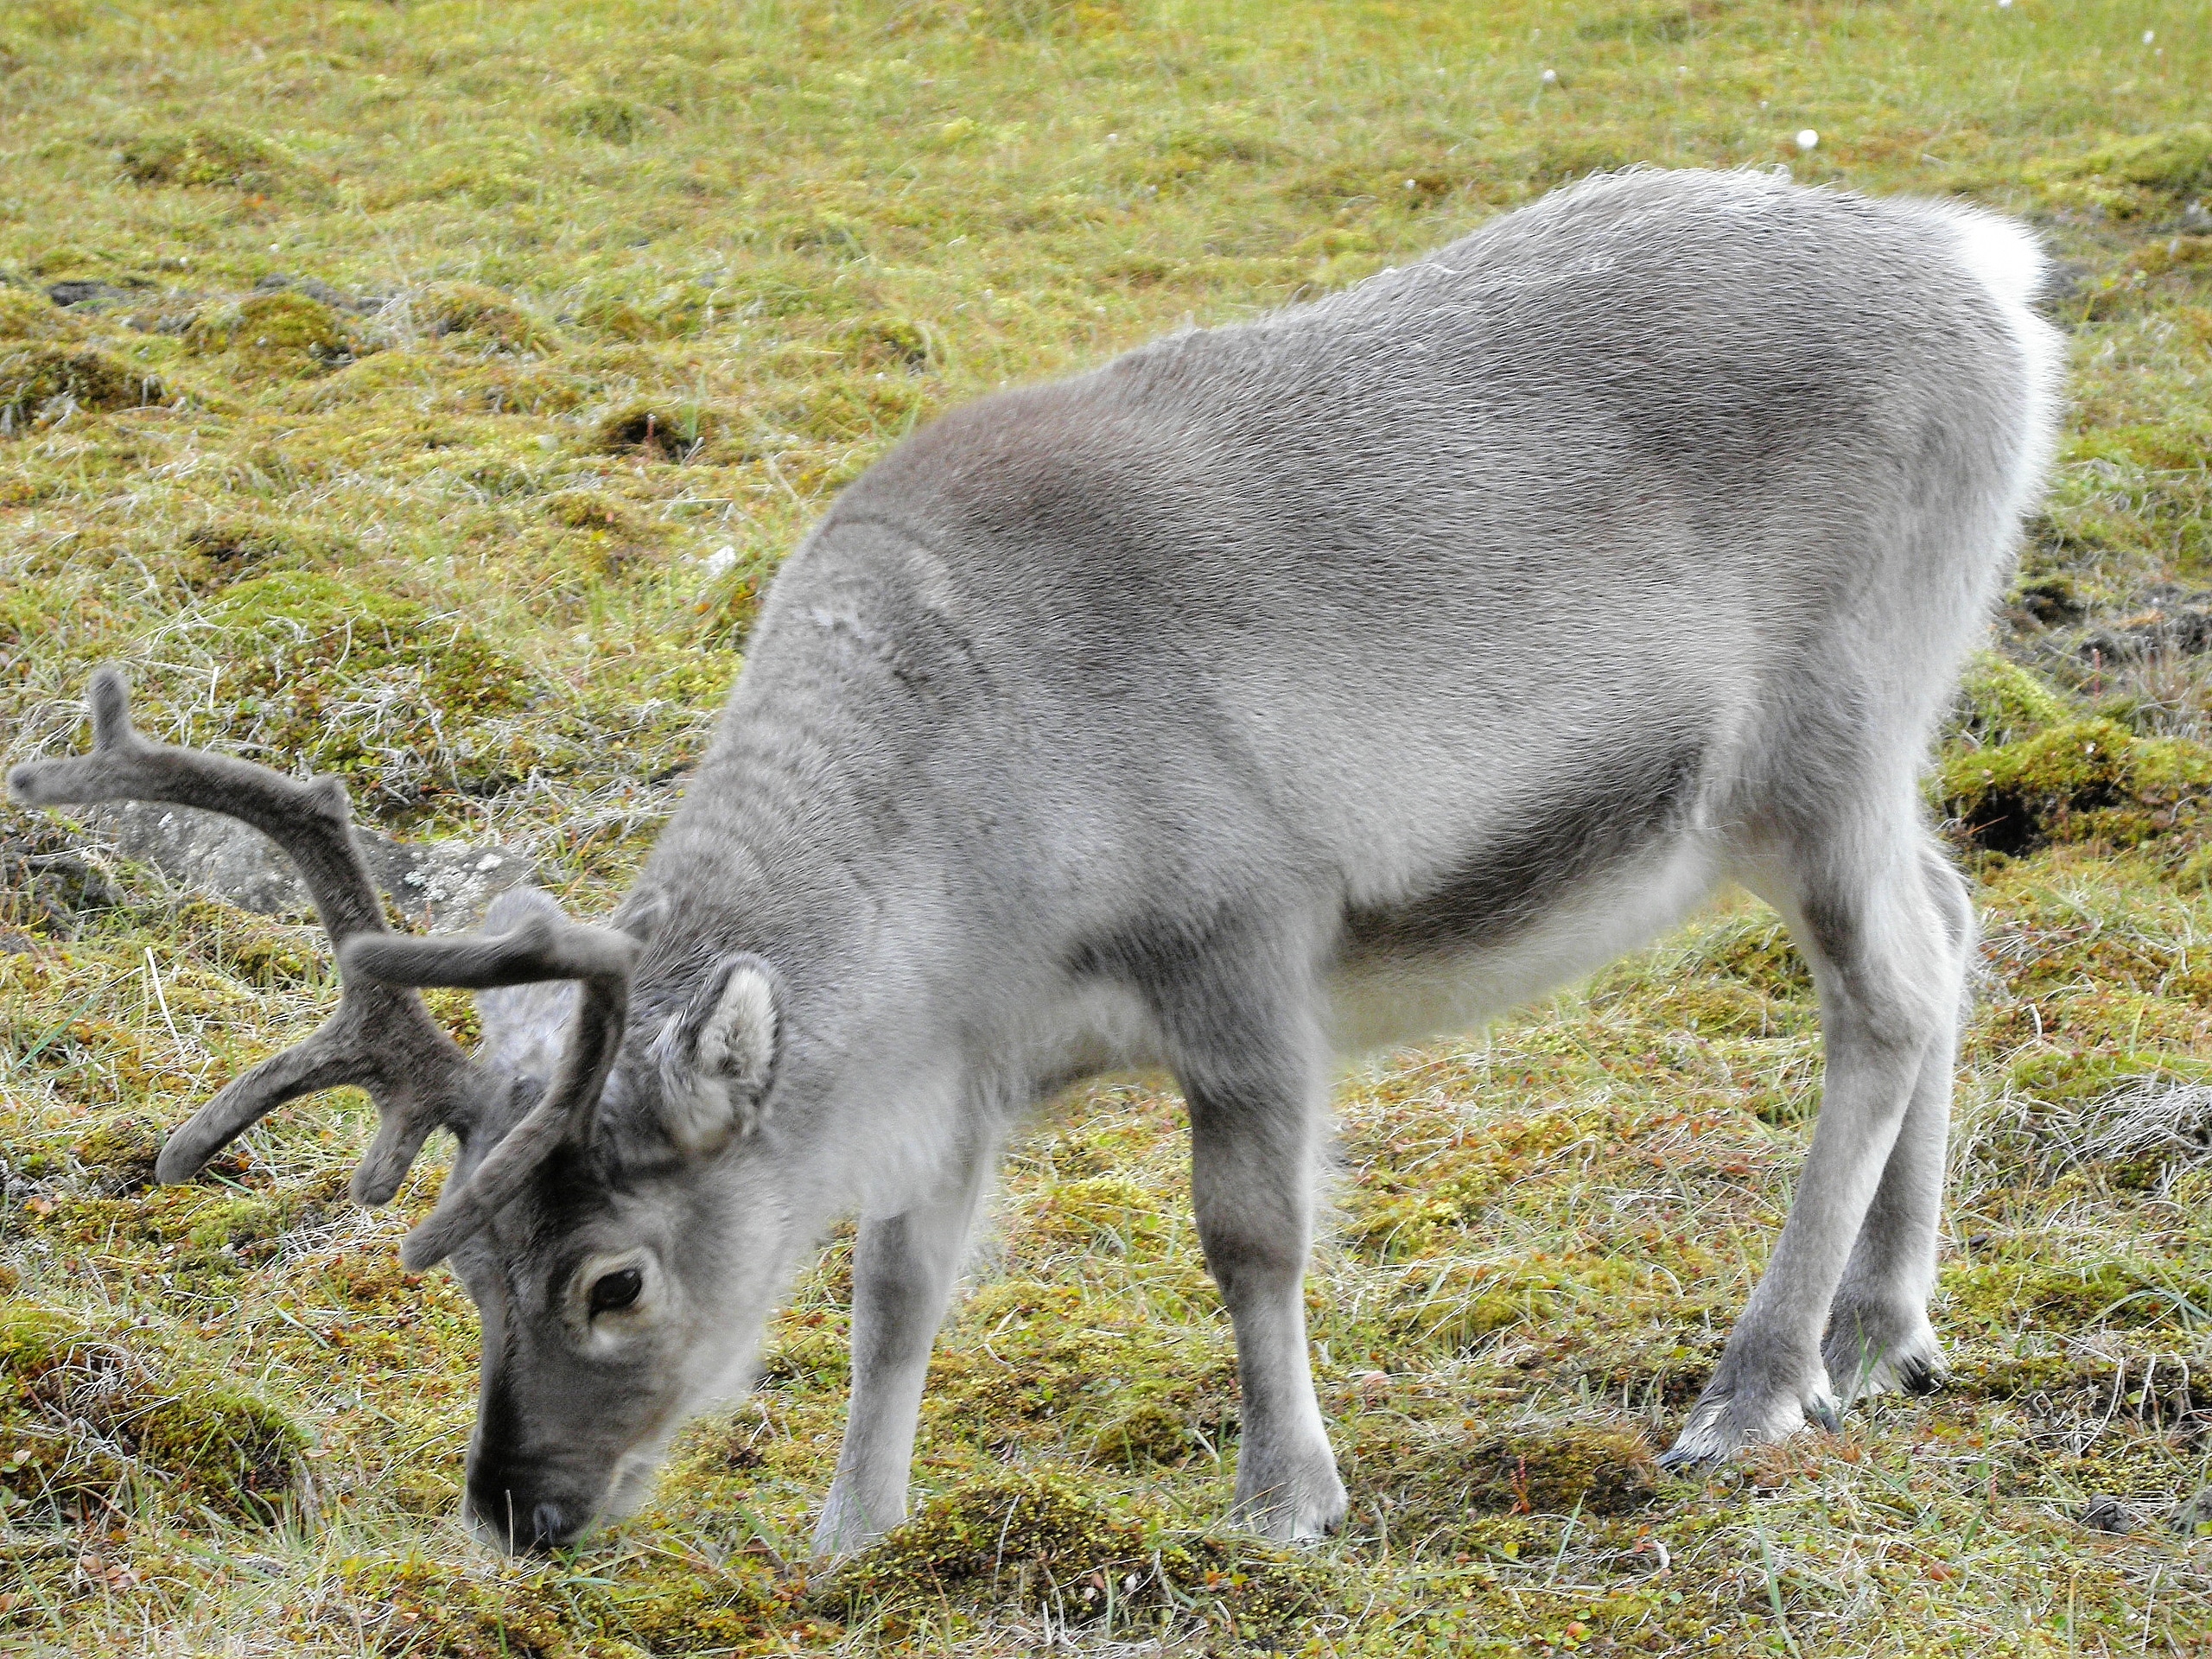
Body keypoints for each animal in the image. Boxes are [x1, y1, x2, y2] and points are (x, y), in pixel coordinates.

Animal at [10, 168, 2061, 1556]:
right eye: (467, 1271)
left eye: (611, 1281)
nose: (515, 1510)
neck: (970, 885)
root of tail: (1997, 280)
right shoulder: (967, 1071)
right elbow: (896, 1283)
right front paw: (850, 1529)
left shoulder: (1249, 944)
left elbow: (1248, 1236)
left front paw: (1288, 1494)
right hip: (1867, 752)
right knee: (1956, 923)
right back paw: (1892, 1328)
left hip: (1822, 734)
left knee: (1887, 990)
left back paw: (1757, 1384)